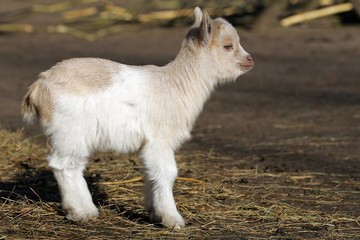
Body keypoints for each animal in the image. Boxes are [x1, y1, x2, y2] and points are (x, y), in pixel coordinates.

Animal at [21, 7, 253, 229]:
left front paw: (154, 212)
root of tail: (37, 88)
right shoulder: (160, 139)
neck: (176, 84)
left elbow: (151, 172)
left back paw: (88, 210)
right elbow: (167, 173)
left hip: (73, 134)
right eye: (228, 46)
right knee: (62, 165)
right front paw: (173, 219)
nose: (250, 60)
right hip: (69, 129)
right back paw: (78, 213)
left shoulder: (149, 143)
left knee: (74, 165)